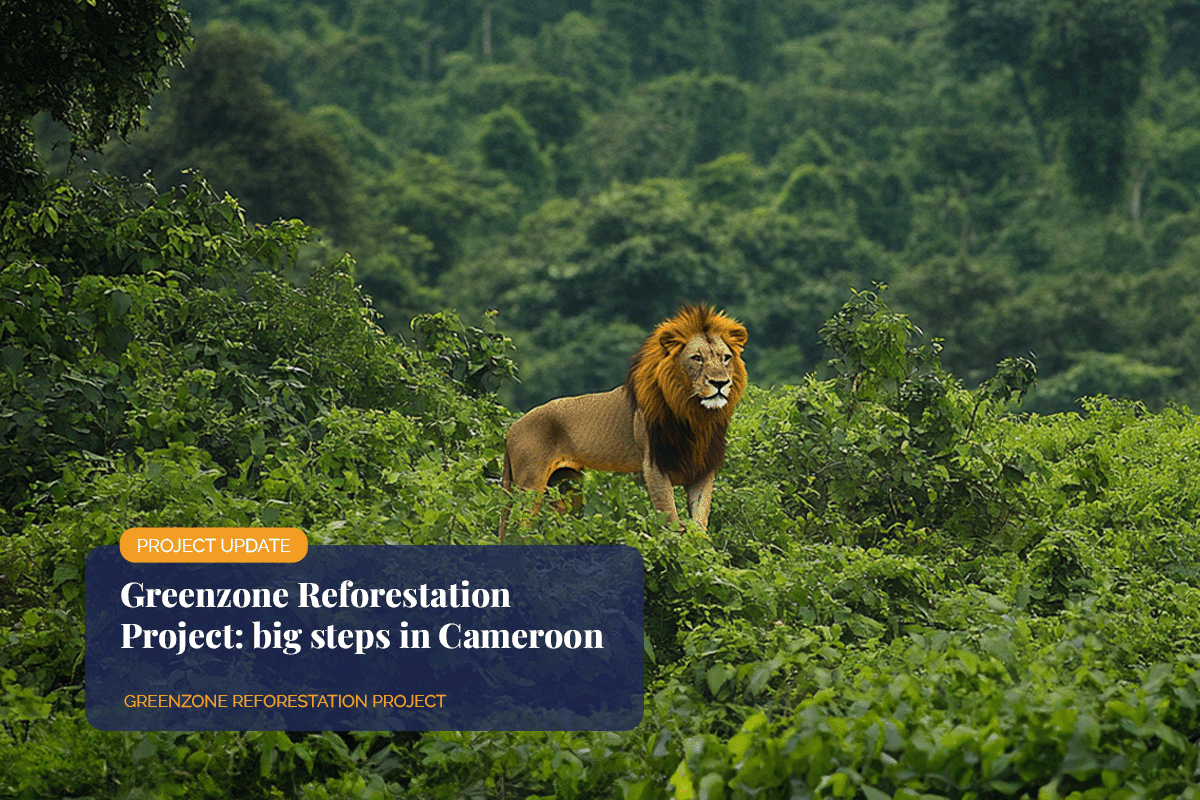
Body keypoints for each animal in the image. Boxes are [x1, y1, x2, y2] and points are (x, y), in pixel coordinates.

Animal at [499, 305, 748, 540]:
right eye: (697, 358)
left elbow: (699, 523)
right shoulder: (654, 467)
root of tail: (513, 426)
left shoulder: (703, 469)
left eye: (726, 358)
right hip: (530, 485)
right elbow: (671, 520)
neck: (695, 415)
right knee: (518, 528)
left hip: (567, 486)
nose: (720, 383)